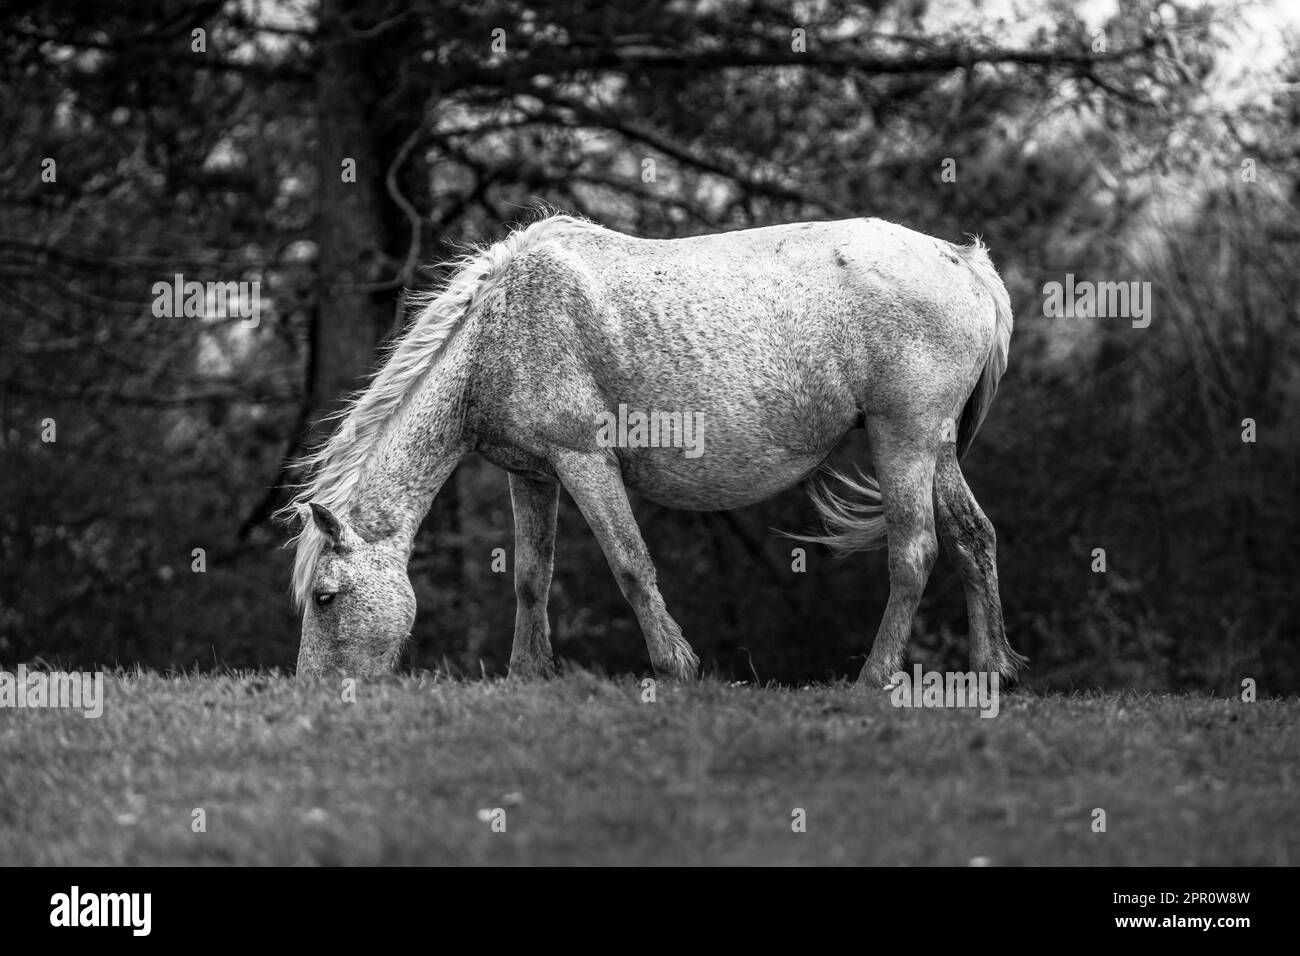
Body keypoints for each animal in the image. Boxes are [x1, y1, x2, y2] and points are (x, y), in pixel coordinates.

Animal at [284, 213, 1024, 686]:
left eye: (325, 597)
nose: (313, 694)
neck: (500, 329)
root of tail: (967, 263)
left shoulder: (584, 461)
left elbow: (631, 564)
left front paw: (676, 666)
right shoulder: (533, 475)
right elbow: (531, 578)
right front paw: (528, 675)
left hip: (903, 438)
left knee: (915, 551)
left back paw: (874, 677)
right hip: (935, 447)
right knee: (973, 537)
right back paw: (993, 671)